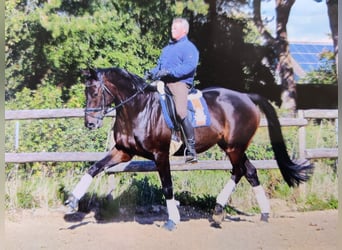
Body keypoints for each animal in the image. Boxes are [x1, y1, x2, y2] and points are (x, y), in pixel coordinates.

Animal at [65, 67, 314, 230]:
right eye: (86, 92)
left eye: (94, 92)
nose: (90, 124)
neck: (138, 109)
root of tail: (246, 97)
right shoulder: (122, 151)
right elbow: (94, 168)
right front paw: (72, 201)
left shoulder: (160, 154)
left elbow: (167, 186)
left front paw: (172, 219)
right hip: (231, 146)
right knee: (249, 171)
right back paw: (258, 213)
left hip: (235, 147)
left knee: (239, 171)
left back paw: (220, 211)